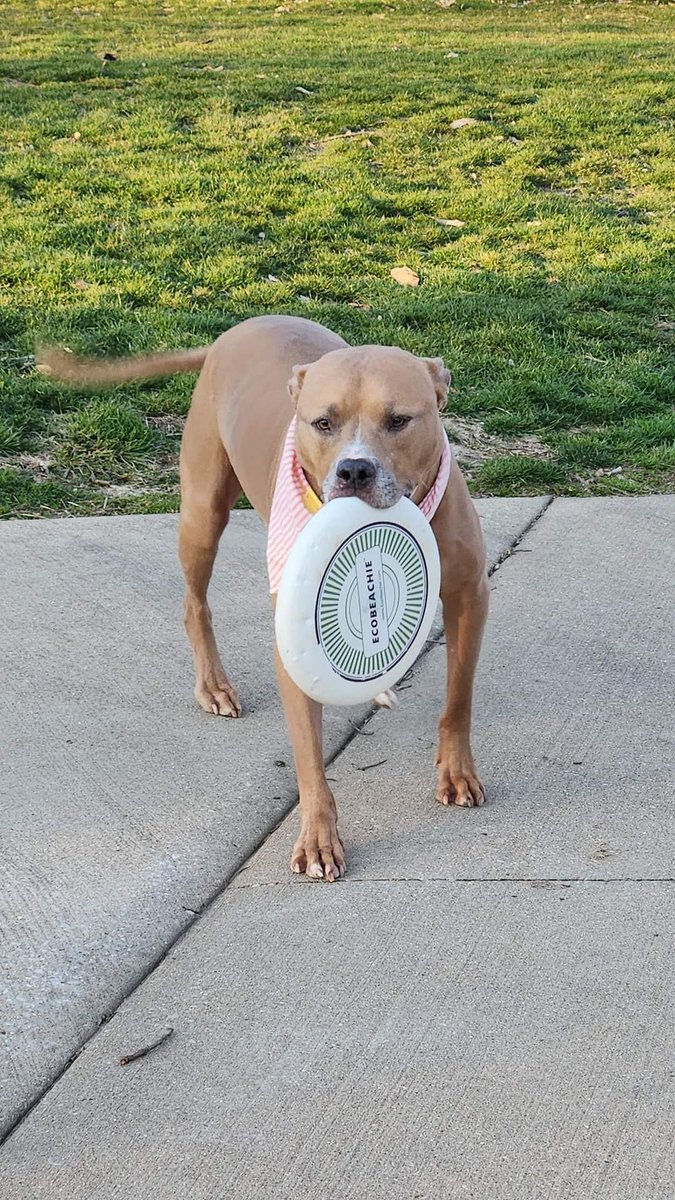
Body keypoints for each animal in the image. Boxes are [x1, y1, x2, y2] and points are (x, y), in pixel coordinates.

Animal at [40, 316, 482, 883]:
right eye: (322, 423)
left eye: (400, 420)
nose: (354, 471)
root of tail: (234, 331)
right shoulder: (295, 639)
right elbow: (310, 756)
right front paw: (318, 839)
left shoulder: (470, 596)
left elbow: (458, 698)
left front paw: (457, 772)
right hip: (203, 511)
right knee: (195, 602)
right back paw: (214, 685)